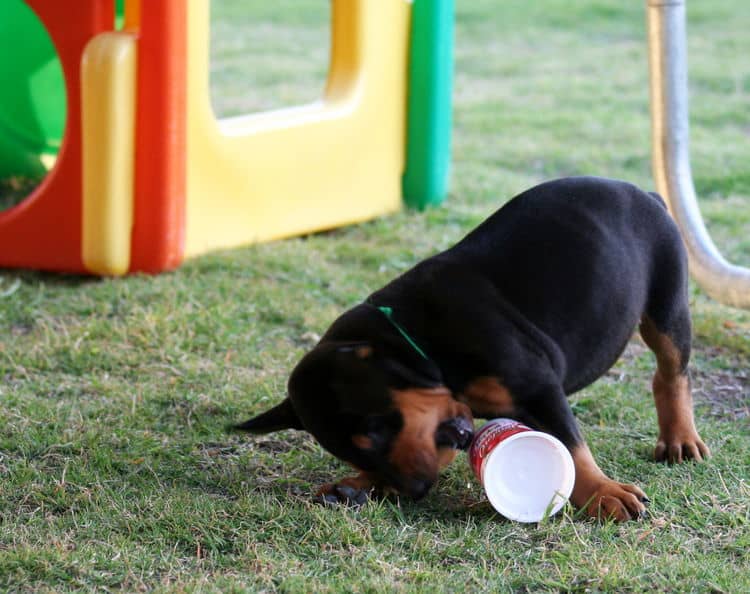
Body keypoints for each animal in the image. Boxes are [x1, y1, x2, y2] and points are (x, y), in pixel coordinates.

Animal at [236, 175, 712, 520]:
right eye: (354, 449)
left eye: (375, 429)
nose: (413, 492)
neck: (418, 339)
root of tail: (647, 194)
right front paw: (354, 483)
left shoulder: (538, 387)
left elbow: (572, 447)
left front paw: (602, 493)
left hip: (667, 301)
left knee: (672, 370)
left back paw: (680, 438)